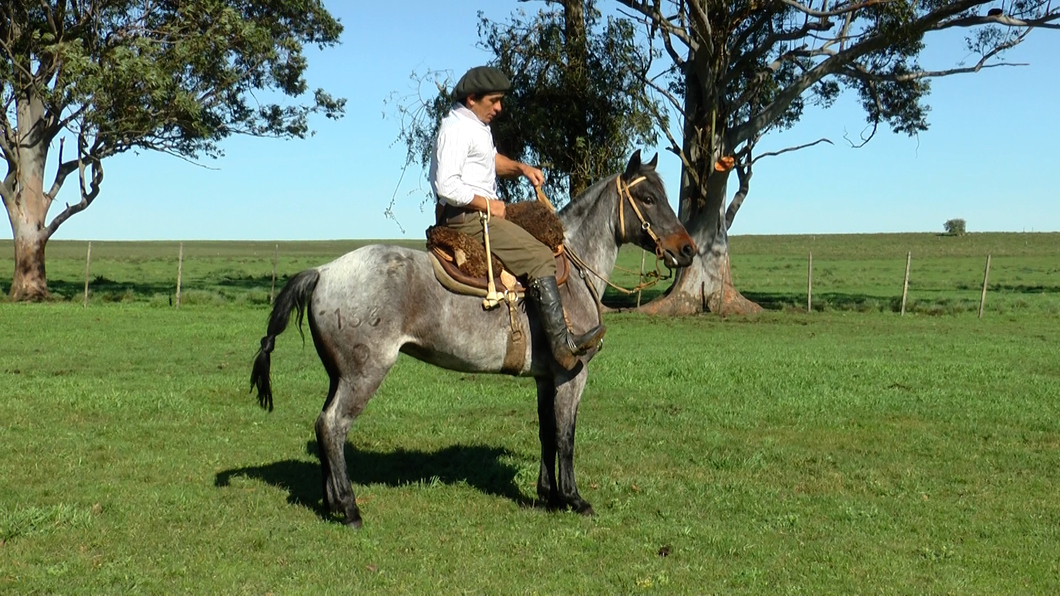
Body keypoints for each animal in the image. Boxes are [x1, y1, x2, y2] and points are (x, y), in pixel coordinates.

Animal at [248, 150, 695, 526]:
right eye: (649, 198)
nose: (688, 249)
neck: (571, 272)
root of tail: (323, 271)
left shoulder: (545, 379)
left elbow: (547, 434)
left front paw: (548, 495)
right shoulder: (572, 375)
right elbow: (566, 437)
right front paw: (573, 498)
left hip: (338, 375)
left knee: (322, 425)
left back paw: (330, 503)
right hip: (364, 374)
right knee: (333, 426)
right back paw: (349, 507)